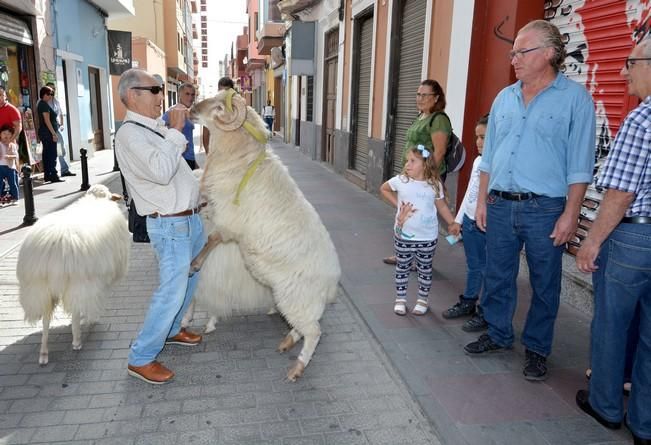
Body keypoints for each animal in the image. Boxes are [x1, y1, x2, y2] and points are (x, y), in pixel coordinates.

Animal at [17, 184, 130, 364]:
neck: (96, 200)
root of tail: (53, 246)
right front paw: (93, 318)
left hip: (38, 287)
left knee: (46, 319)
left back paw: (43, 353)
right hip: (78, 282)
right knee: (76, 311)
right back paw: (77, 340)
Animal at [187, 88, 342, 380]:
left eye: (218, 106)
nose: (191, 109)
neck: (242, 158)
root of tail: (332, 280)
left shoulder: (228, 220)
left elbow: (212, 239)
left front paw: (195, 263)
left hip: (297, 298)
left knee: (314, 332)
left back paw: (298, 366)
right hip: (296, 300)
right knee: (304, 327)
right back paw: (288, 341)